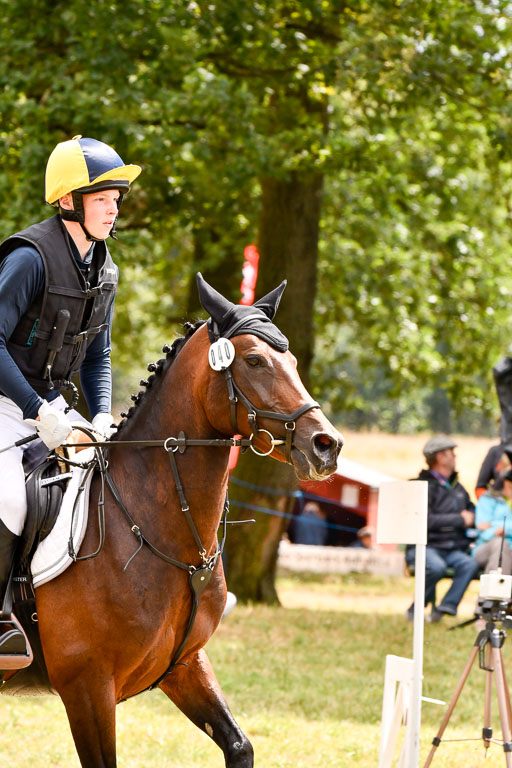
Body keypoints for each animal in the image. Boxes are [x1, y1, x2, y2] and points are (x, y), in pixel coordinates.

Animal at [4, 276, 342, 768]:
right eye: (255, 360)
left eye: (294, 362)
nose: (326, 446)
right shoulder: (88, 689)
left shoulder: (185, 665)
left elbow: (239, 745)